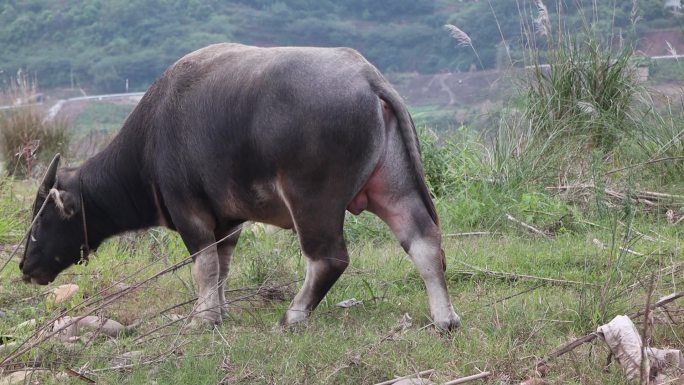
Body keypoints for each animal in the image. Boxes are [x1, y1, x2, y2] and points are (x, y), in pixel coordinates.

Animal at [20, 42, 460, 330]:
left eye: (41, 222)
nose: (25, 266)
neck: (151, 141)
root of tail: (370, 80)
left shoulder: (191, 213)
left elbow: (205, 266)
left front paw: (202, 319)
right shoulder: (227, 221)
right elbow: (223, 266)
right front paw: (220, 310)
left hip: (312, 199)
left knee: (329, 258)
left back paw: (293, 315)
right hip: (394, 188)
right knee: (424, 240)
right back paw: (445, 318)